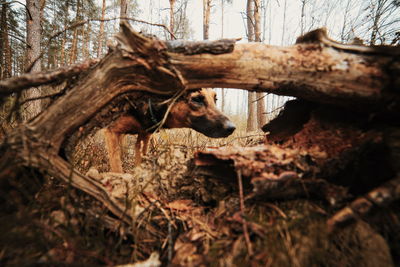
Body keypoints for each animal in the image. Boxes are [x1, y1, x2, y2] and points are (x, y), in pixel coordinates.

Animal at [104, 87, 234, 172]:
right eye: (196, 99)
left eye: (215, 99)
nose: (232, 127)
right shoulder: (112, 132)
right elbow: (117, 169)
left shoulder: (144, 137)